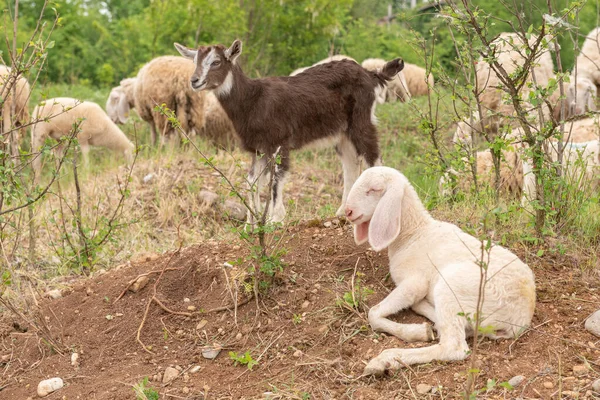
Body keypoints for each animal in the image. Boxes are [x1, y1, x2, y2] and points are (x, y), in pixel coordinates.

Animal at [173, 39, 404, 223]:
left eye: (216, 62)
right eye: (195, 61)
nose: (194, 81)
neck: (253, 99)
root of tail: (371, 74)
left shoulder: (279, 142)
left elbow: (277, 178)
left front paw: (275, 220)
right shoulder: (259, 149)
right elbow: (252, 182)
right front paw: (251, 224)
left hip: (361, 120)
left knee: (373, 157)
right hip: (342, 133)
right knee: (350, 164)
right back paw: (341, 212)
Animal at [344, 166, 536, 376]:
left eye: (374, 189)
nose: (348, 211)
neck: (413, 234)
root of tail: (521, 316)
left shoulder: (414, 283)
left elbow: (373, 314)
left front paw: (418, 332)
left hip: (453, 286)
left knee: (454, 347)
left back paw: (387, 359)